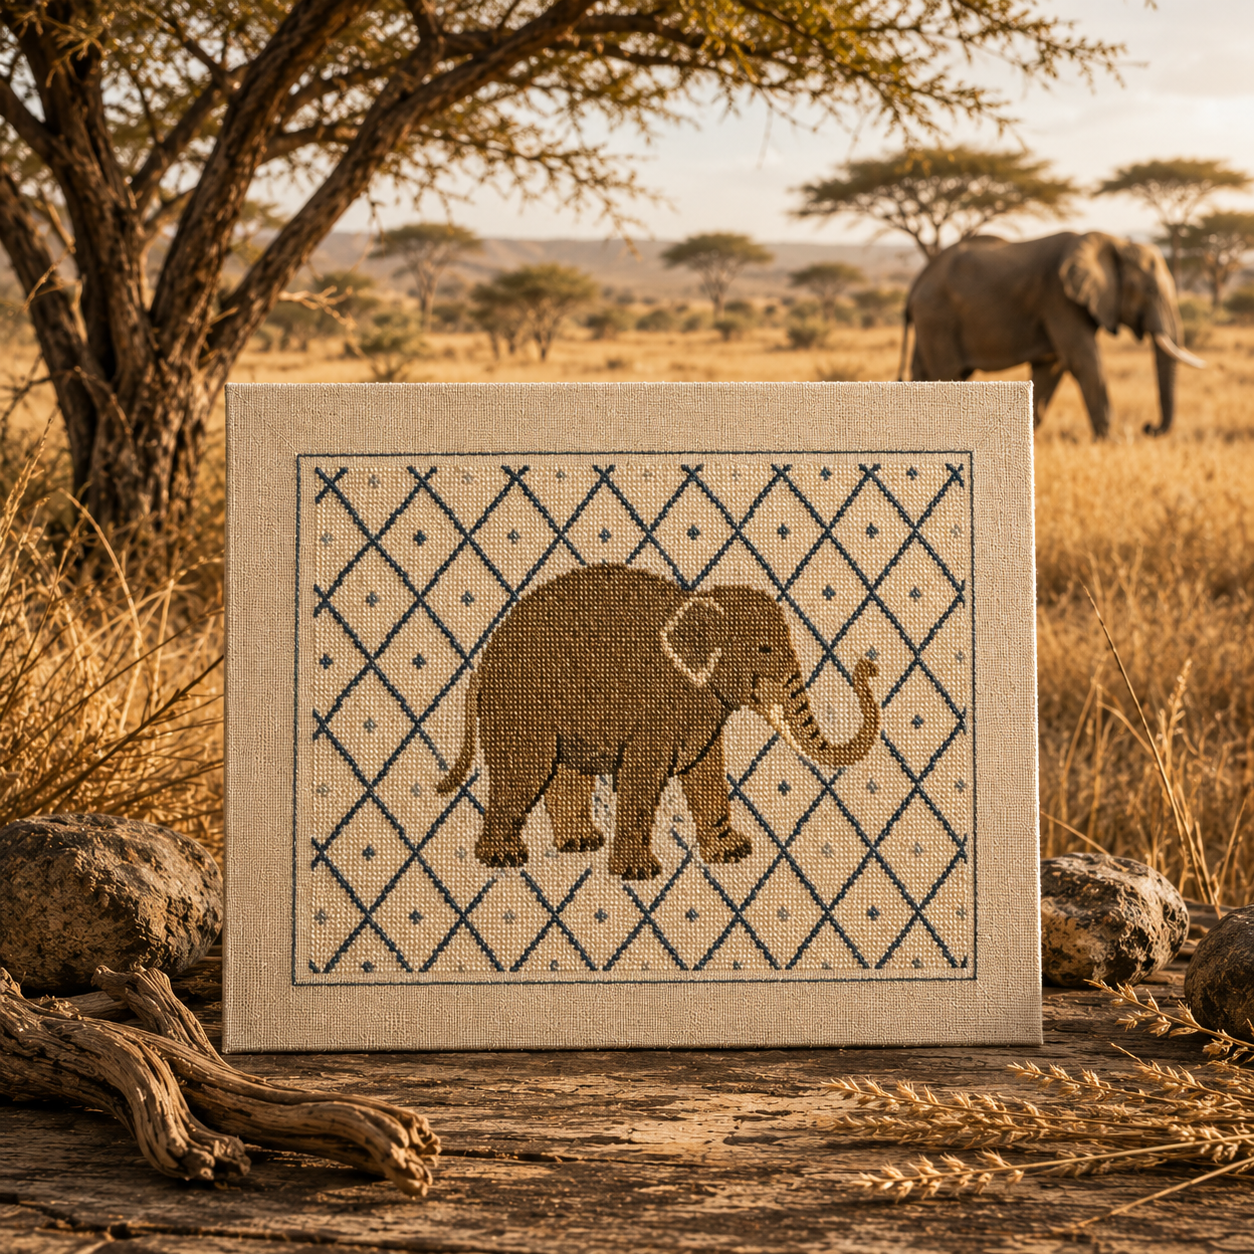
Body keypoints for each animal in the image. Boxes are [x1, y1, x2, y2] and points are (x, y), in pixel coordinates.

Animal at [437, 564, 880, 880]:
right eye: (765, 648)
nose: (869, 666)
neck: (696, 602)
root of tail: (481, 663)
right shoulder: (658, 705)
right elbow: (643, 774)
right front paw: (639, 873)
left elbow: (704, 771)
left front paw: (733, 853)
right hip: (521, 704)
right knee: (528, 770)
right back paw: (504, 858)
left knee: (564, 773)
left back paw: (580, 843)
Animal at [901, 231, 1205, 437]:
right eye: (1150, 291)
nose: (1148, 427)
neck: (1113, 242)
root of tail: (917, 282)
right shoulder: (1059, 298)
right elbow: (1083, 361)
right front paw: (1111, 440)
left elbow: (1051, 367)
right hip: (938, 317)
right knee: (946, 373)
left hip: (931, 323)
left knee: (923, 372)